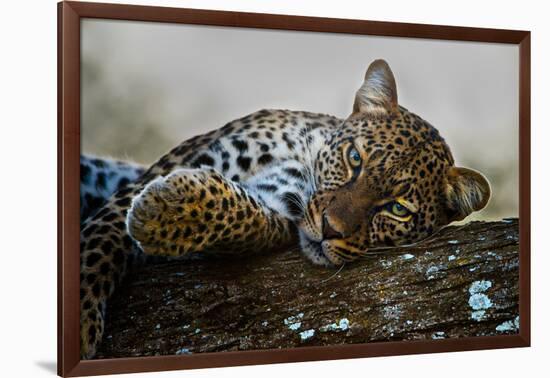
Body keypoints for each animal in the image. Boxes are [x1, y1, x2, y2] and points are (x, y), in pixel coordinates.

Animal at [77, 59, 492, 358]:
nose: (330, 229)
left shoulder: (275, 212)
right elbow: (101, 243)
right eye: (354, 158)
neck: (301, 158)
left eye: (398, 209)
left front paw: (166, 210)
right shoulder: (162, 170)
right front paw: (80, 322)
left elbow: (242, 216)